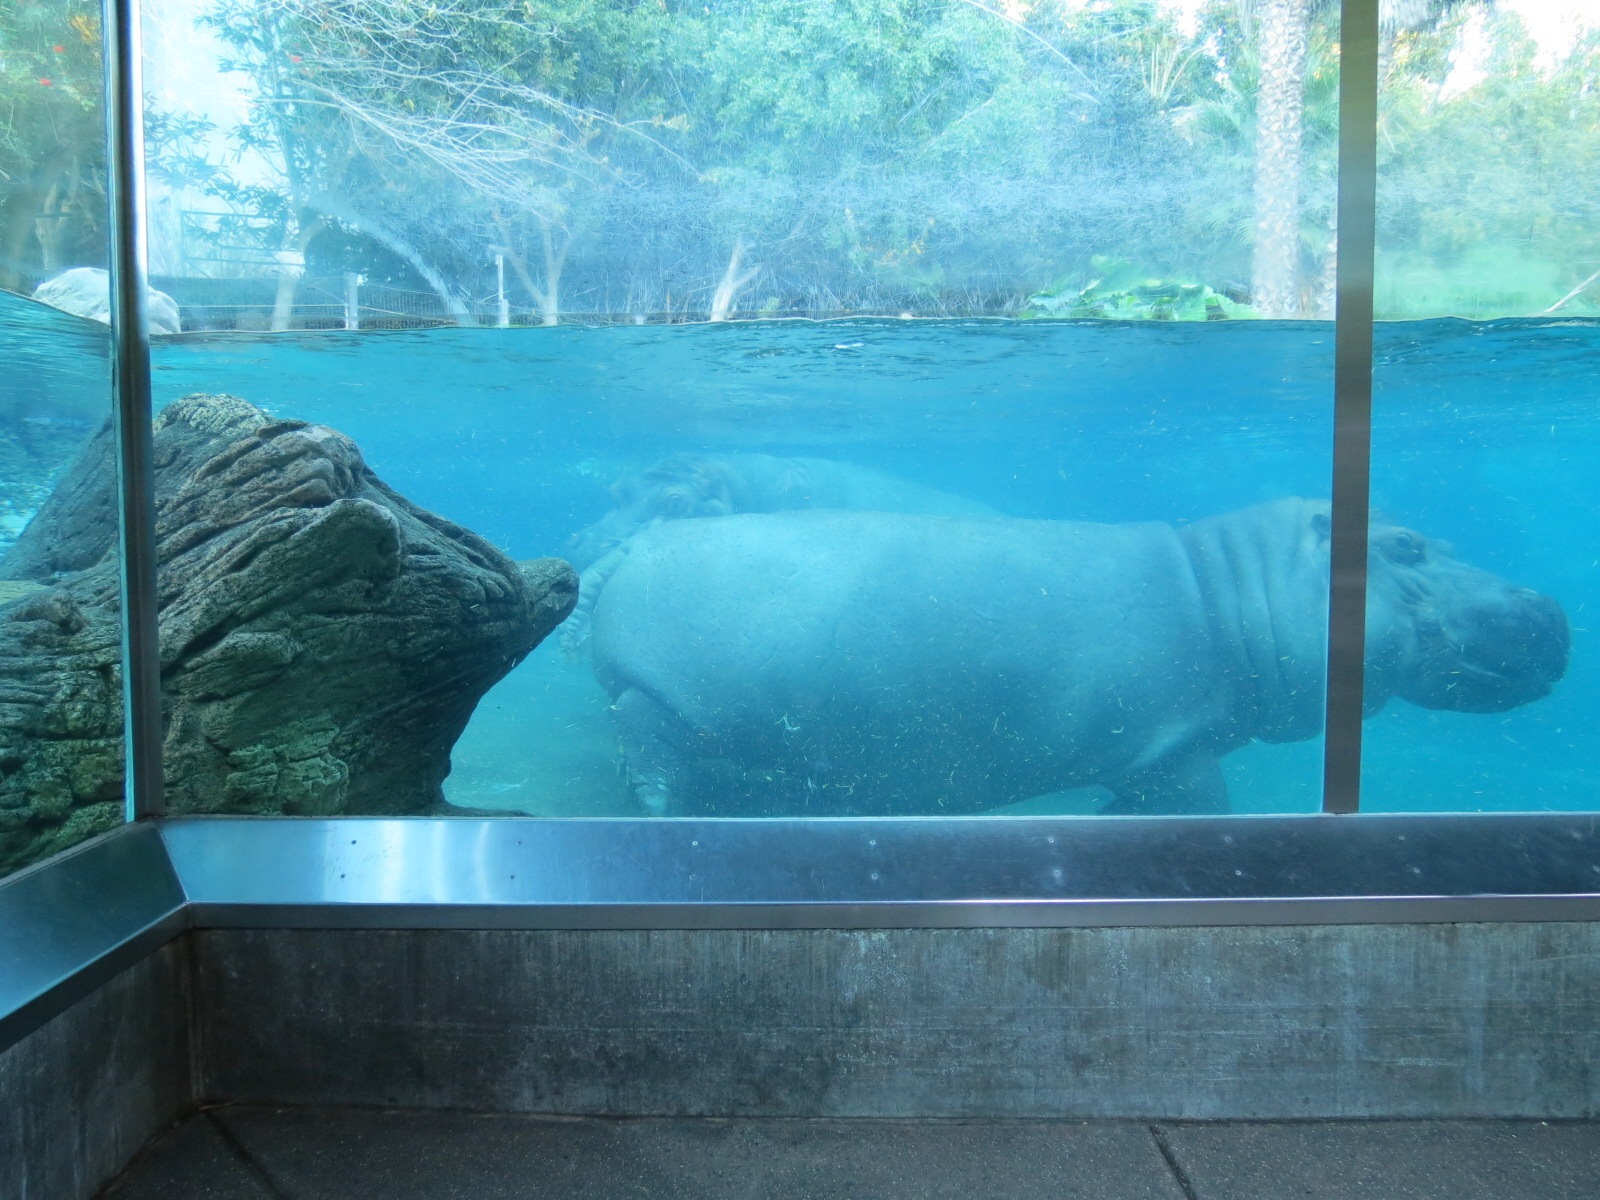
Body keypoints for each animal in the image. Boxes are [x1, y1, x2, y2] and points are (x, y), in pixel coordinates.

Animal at [586, 499, 1568, 816]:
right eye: (1407, 546)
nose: (1552, 608)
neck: (1226, 586)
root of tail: (631, 547)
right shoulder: (1175, 752)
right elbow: (1197, 807)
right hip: (661, 697)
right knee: (648, 741)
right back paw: (661, 806)